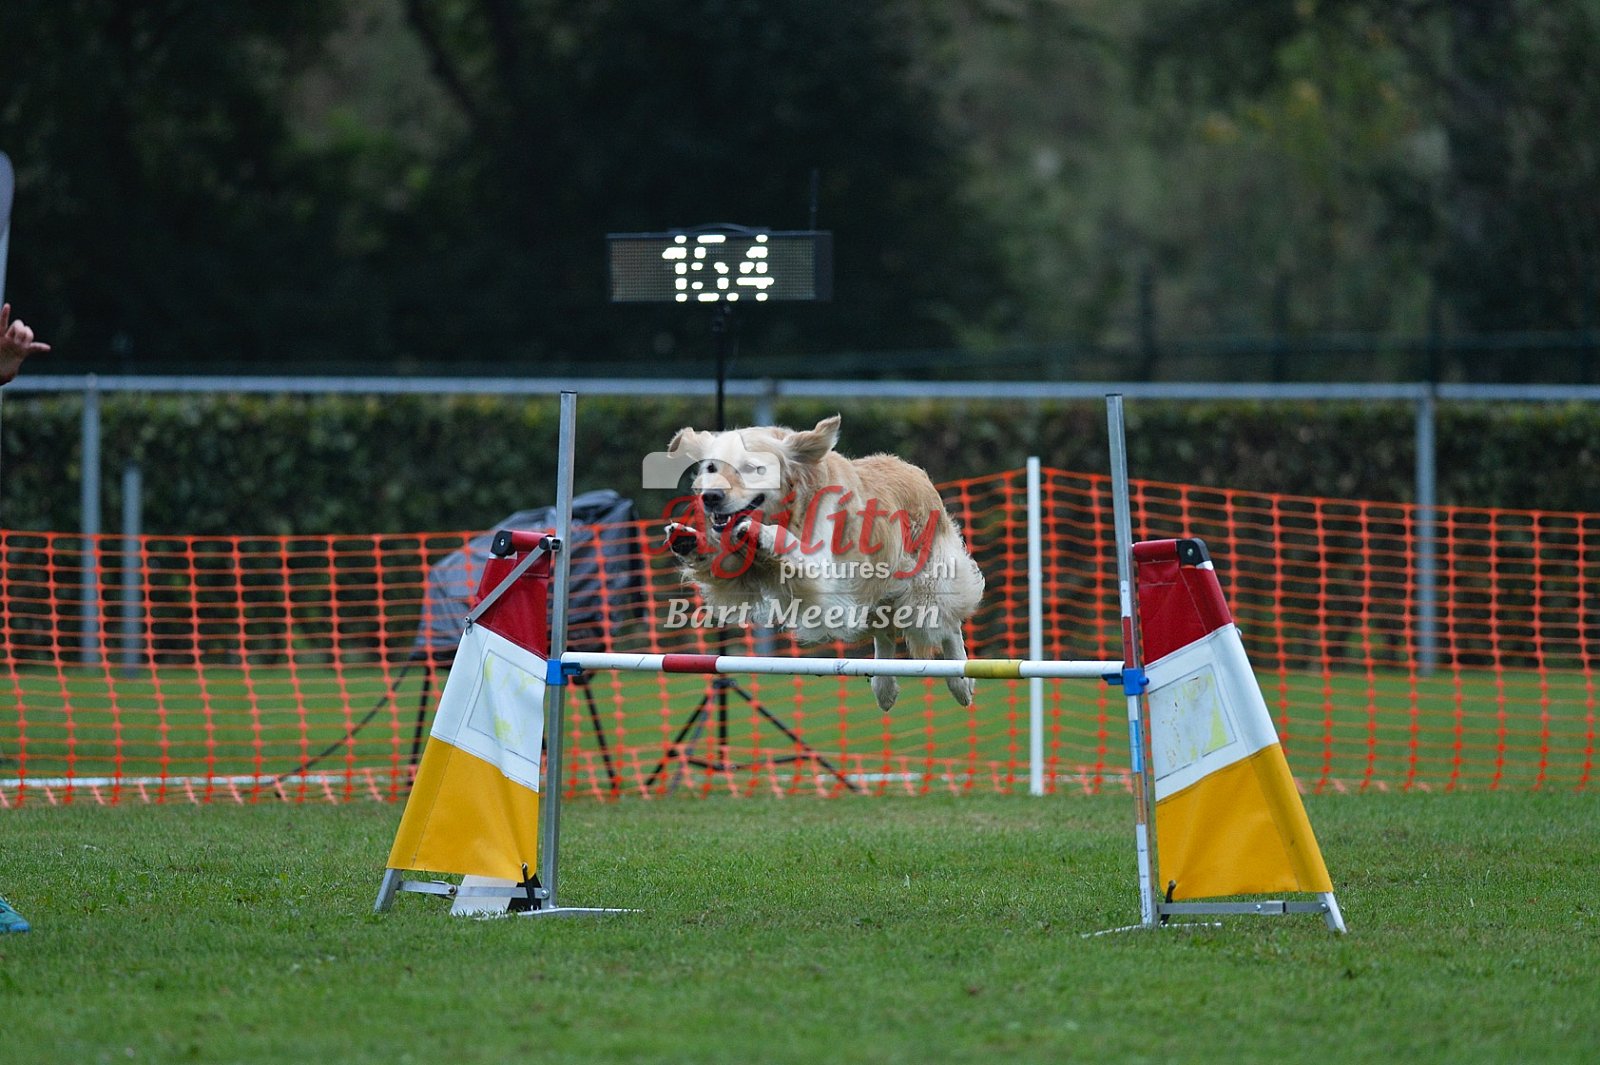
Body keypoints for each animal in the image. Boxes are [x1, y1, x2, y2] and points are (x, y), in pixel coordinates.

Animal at [661, 414, 985, 710]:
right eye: (711, 467)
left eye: (751, 468)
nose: (710, 497)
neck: (788, 508)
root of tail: (916, 472)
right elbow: (721, 562)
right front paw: (690, 540)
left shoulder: (824, 570)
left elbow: (786, 542)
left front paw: (761, 533)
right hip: (874, 594)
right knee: (884, 630)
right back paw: (884, 687)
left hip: (925, 588)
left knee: (947, 624)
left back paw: (961, 682)